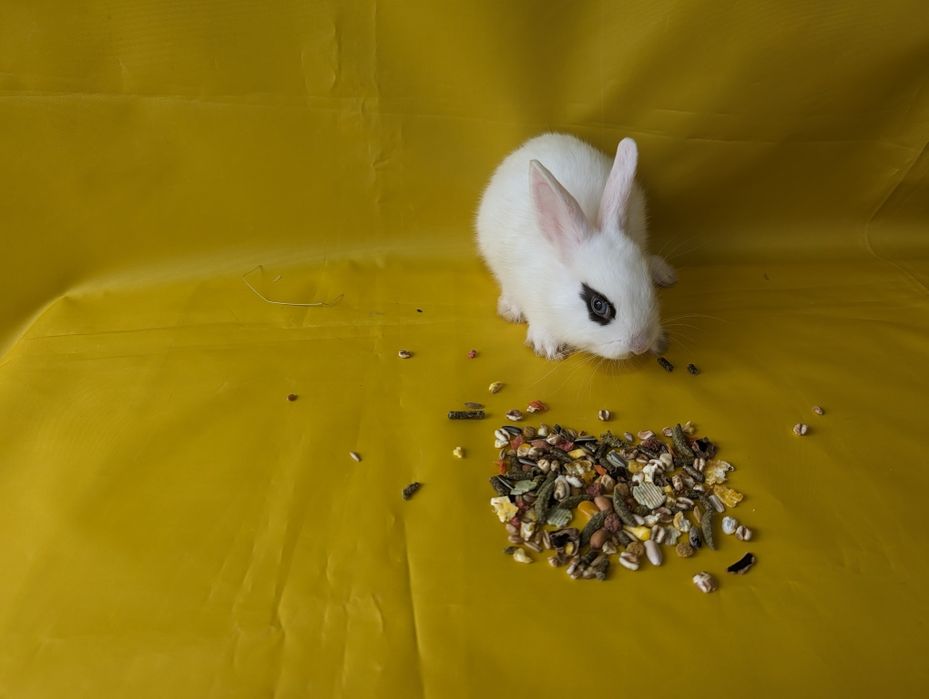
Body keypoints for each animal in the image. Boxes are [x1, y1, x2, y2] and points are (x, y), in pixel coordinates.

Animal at [475, 133, 676, 360]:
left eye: (647, 286)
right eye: (598, 305)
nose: (640, 344)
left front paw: (659, 340)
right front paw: (549, 345)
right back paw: (510, 309)